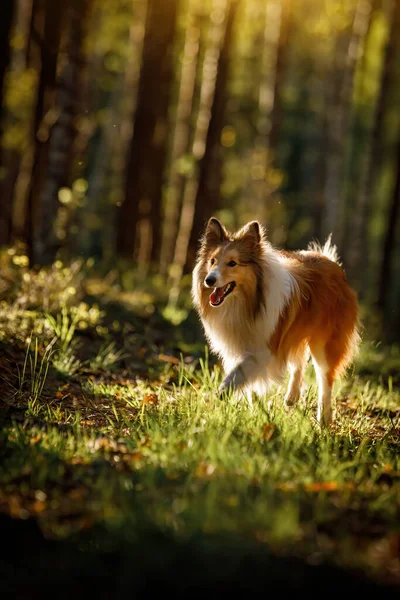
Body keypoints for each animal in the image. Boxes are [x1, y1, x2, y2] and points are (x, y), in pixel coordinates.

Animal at [191, 218, 360, 424]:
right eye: (212, 261)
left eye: (232, 263)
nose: (209, 280)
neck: (247, 302)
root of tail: (334, 265)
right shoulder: (244, 347)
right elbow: (248, 384)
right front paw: (253, 410)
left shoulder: (263, 350)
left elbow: (235, 376)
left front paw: (220, 397)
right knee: (299, 361)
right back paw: (292, 397)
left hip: (325, 343)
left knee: (324, 378)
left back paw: (323, 419)